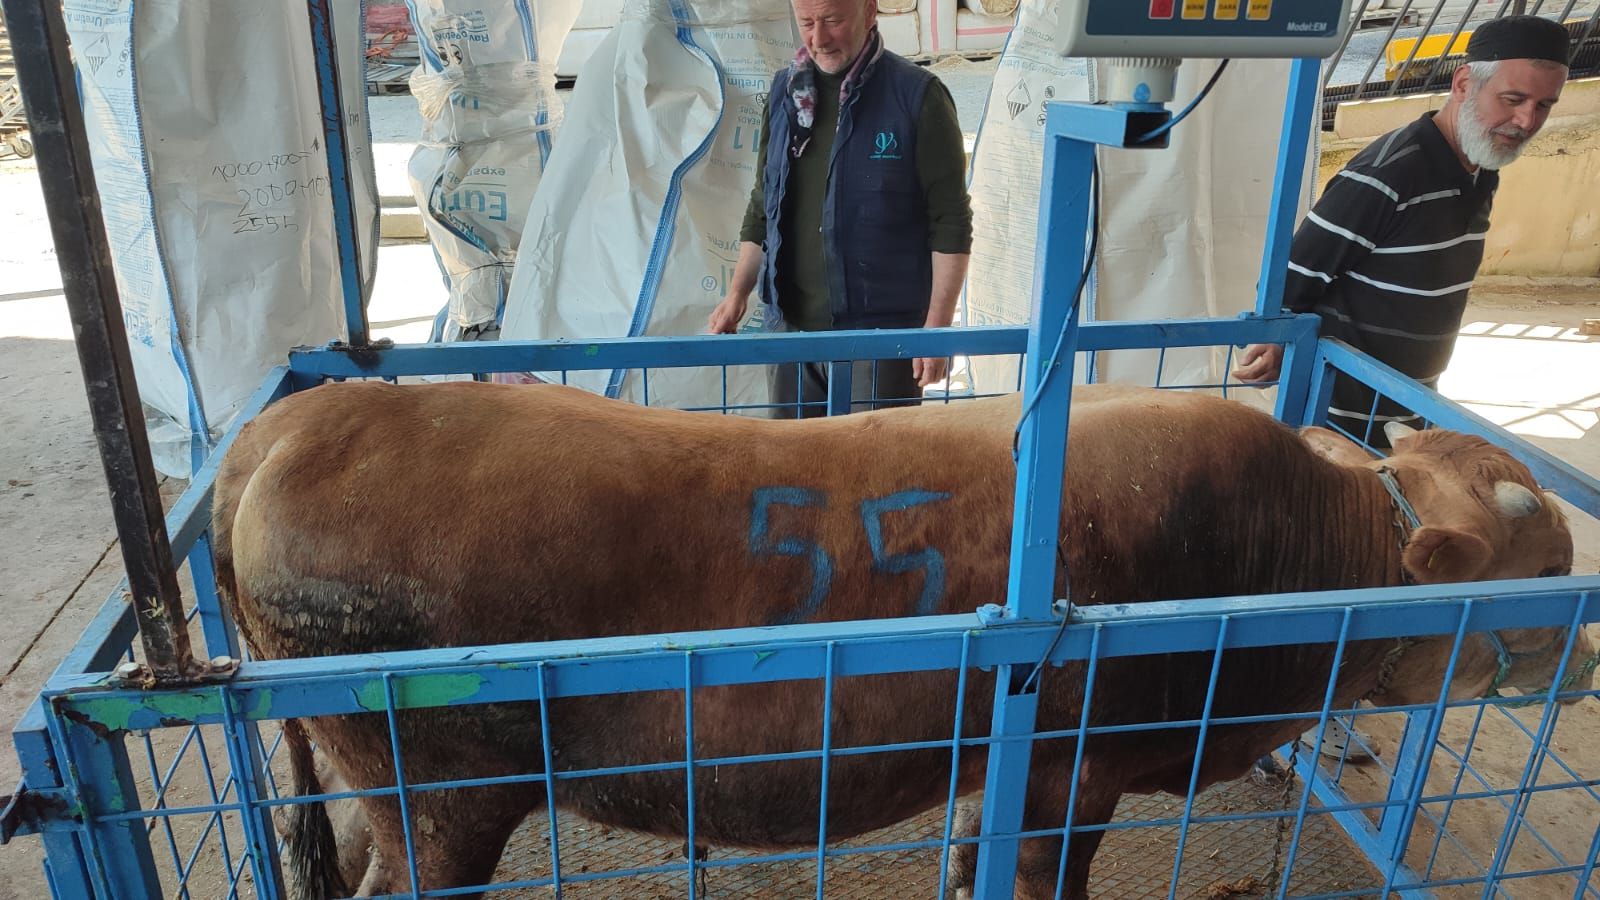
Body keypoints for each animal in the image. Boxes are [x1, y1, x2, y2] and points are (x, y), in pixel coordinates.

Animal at [211, 380, 1587, 899]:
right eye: (1542, 569)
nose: (1584, 656)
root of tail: (293, 421)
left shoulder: (1000, 764)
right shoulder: (1075, 770)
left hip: (365, 780)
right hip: (444, 798)